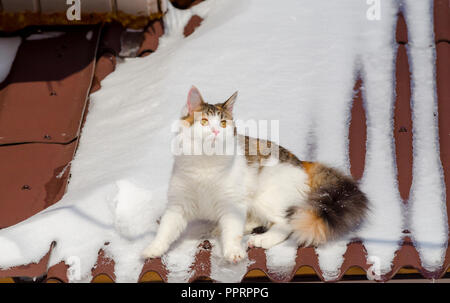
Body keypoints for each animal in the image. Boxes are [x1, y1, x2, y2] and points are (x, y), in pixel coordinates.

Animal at [142, 86, 370, 264]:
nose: (216, 132)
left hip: (265, 196)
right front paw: (153, 249)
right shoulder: (178, 205)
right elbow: (165, 231)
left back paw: (262, 240)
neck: (205, 165)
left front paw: (233, 251)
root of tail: (302, 162)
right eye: (205, 122)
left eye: (223, 124)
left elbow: (233, 230)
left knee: (287, 223)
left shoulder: (232, 203)